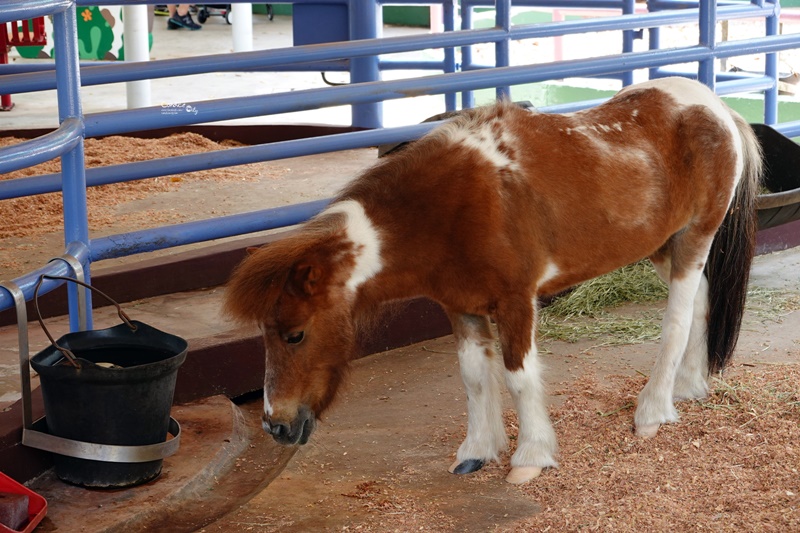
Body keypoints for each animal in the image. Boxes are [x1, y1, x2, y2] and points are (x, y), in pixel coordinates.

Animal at [227, 77, 764, 484]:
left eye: (295, 334)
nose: (275, 425)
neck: (453, 208)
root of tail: (717, 107)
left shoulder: (515, 303)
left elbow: (518, 377)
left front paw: (531, 458)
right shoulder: (461, 306)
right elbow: (473, 375)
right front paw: (477, 451)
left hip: (695, 237)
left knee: (677, 318)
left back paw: (652, 412)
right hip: (662, 247)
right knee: (702, 303)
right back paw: (690, 385)